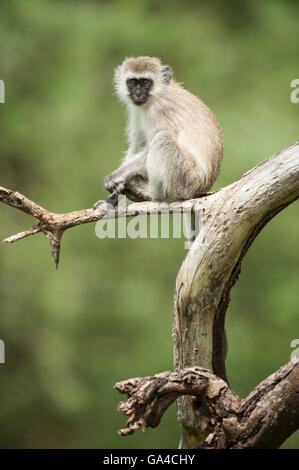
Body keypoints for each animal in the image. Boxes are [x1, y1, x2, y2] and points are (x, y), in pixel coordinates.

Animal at [96, 56, 223, 207]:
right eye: (132, 82)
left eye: (145, 82)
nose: (138, 94)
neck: (155, 96)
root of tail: (203, 188)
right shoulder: (136, 111)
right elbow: (138, 146)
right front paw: (115, 195)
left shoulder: (160, 111)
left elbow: (149, 149)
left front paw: (116, 176)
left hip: (187, 180)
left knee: (162, 140)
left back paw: (151, 194)